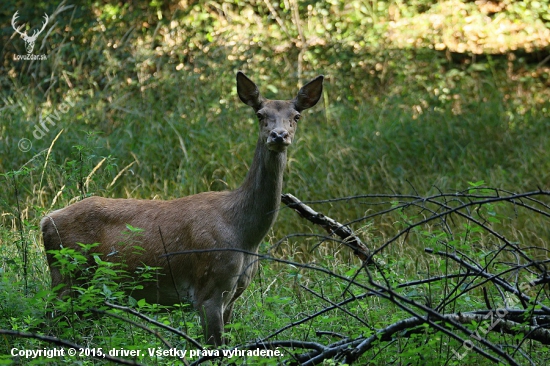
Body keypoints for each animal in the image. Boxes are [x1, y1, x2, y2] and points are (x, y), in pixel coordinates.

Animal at [42, 71, 324, 346]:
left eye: (296, 116)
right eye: (260, 115)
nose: (279, 135)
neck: (244, 233)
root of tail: (45, 221)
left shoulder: (233, 295)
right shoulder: (209, 288)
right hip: (66, 275)